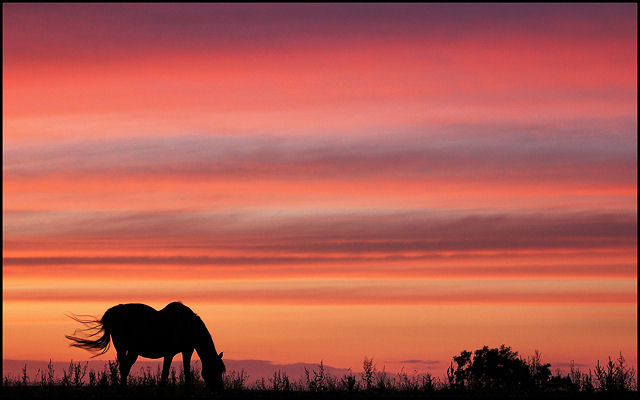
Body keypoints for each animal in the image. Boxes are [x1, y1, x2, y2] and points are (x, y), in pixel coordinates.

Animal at [65, 300, 225, 390]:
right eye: (216, 369)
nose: (220, 389)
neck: (188, 325)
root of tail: (113, 312)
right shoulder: (171, 353)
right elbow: (166, 373)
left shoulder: (185, 351)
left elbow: (184, 372)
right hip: (121, 347)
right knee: (123, 368)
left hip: (131, 351)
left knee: (125, 367)